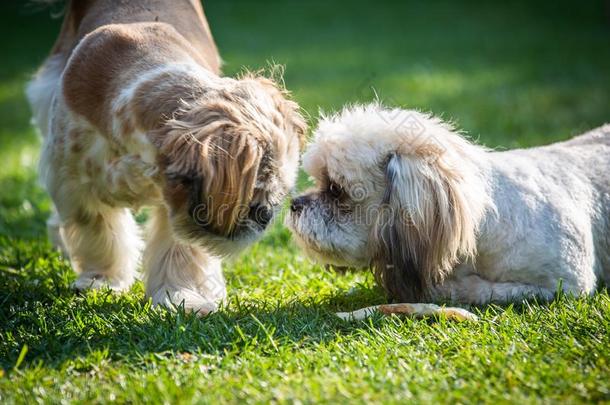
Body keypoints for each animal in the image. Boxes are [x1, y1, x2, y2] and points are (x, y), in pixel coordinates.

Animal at [27, 0, 304, 314]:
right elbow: (98, 230)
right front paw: (101, 280)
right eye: (257, 188)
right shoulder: (74, 181)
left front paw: (181, 296)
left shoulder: (175, 205)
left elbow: (179, 251)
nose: (266, 214)